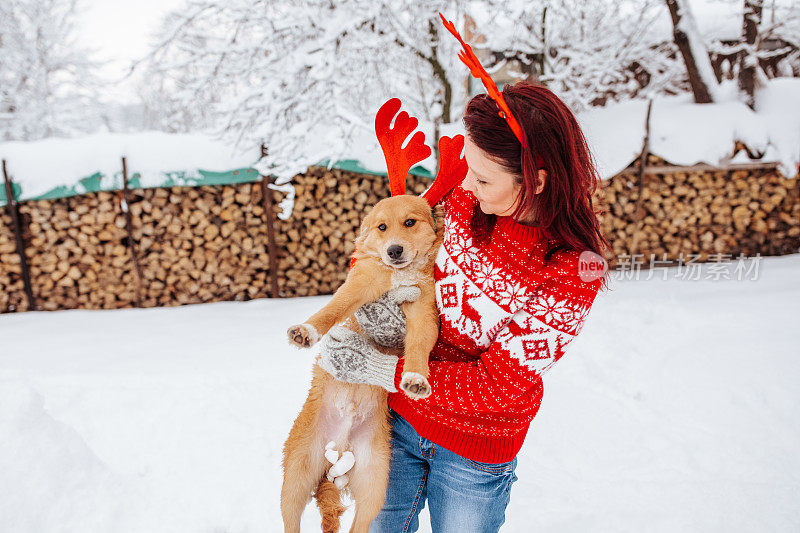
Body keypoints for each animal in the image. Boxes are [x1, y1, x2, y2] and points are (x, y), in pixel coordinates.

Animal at [282, 194, 444, 532]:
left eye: (410, 222)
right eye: (381, 227)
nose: (394, 250)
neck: (398, 276)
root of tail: (340, 445)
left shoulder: (423, 312)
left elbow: (418, 347)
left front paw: (415, 378)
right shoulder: (359, 288)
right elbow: (331, 310)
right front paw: (306, 331)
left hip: (375, 486)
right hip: (295, 478)